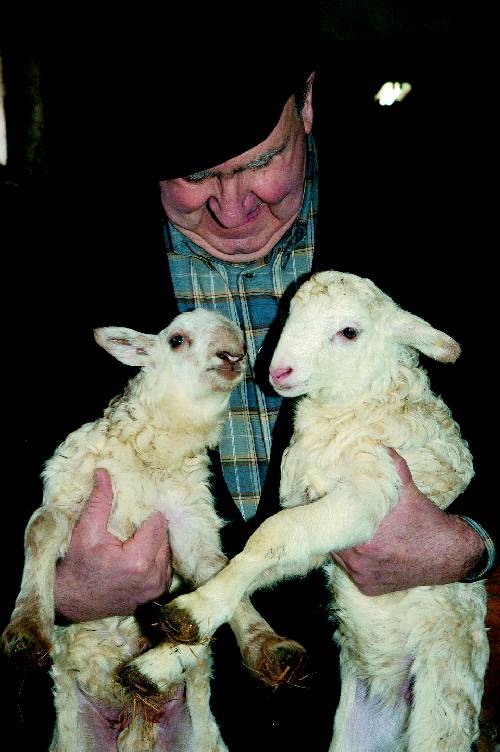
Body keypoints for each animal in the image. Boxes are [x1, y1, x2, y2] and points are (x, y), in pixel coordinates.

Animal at [2, 307, 307, 752]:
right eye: (177, 340)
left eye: (242, 342)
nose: (233, 353)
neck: (151, 458)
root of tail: (136, 727)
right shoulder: (69, 491)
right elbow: (41, 529)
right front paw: (26, 630)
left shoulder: (188, 519)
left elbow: (217, 573)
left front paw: (268, 646)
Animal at [121, 271, 489, 751]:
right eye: (289, 315)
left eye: (349, 332)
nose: (279, 371)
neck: (353, 405)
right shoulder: (317, 532)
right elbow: (257, 559)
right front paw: (163, 658)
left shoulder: (370, 492)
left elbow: (273, 534)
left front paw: (193, 612)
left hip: (440, 706)